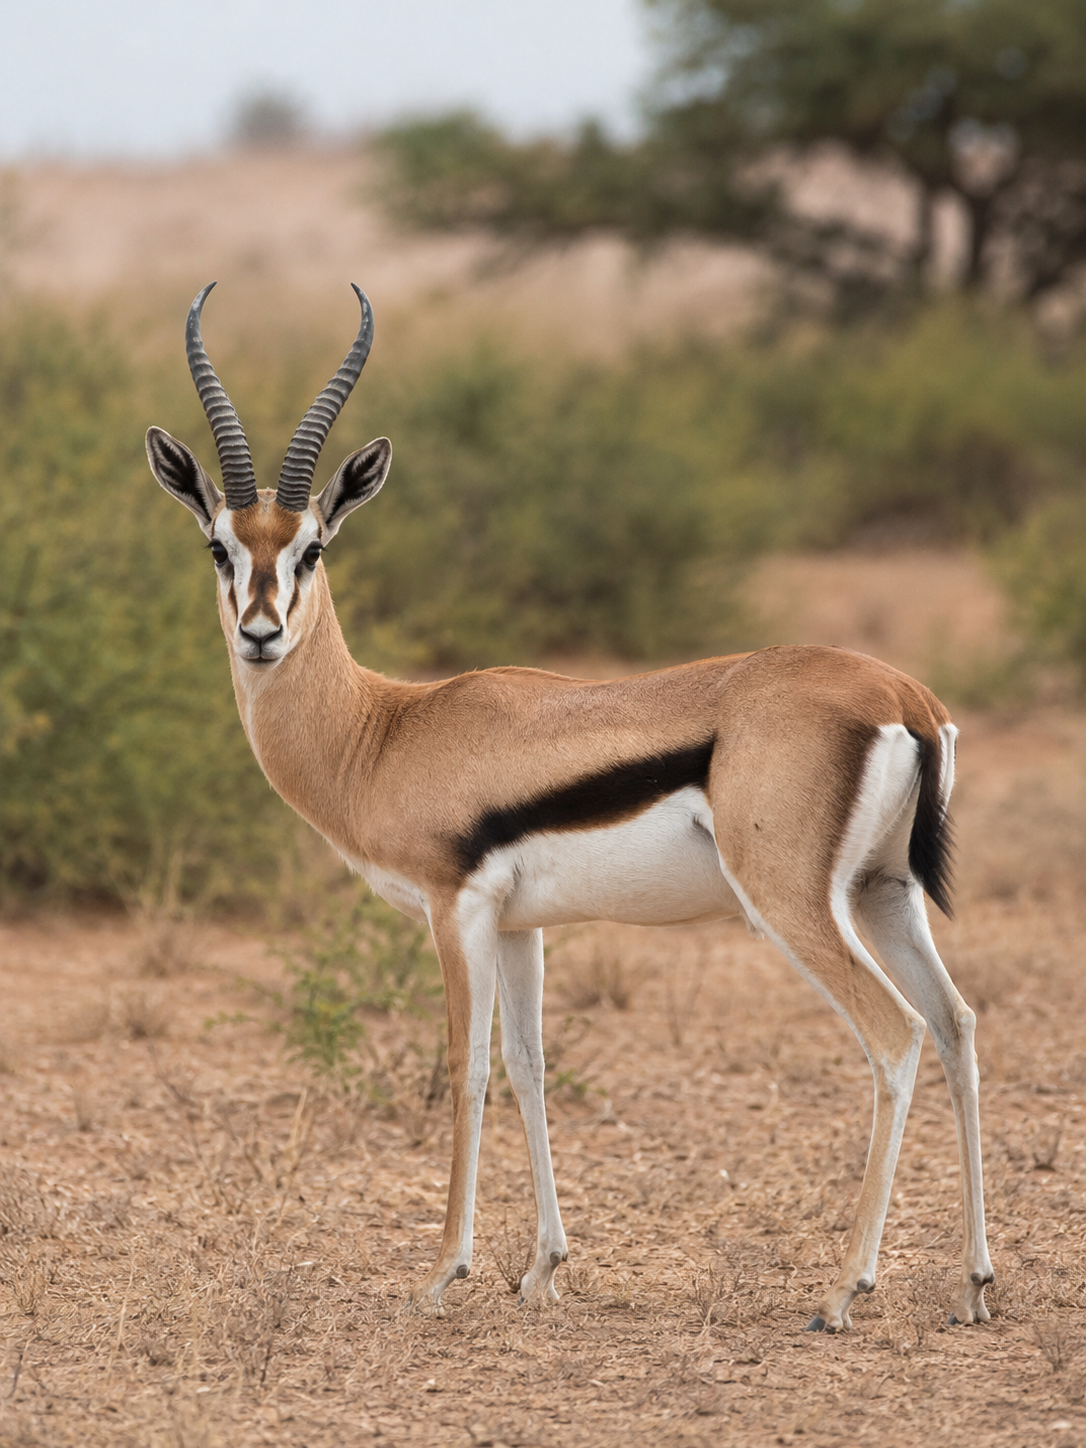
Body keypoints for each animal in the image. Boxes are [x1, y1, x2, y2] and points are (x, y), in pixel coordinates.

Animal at [145, 283, 994, 1331]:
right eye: (220, 545)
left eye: (312, 548)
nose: (261, 634)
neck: (386, 730)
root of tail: (904, 696)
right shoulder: (521, 925)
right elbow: (528, 1064)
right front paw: (543, 1267)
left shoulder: (455, 908)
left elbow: (466, 1067)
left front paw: (447, 1271)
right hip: (884, 892)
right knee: (956, 1024)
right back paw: (972, 1283)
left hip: (794, 904)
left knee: (896, 1035)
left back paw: (843, 1290)